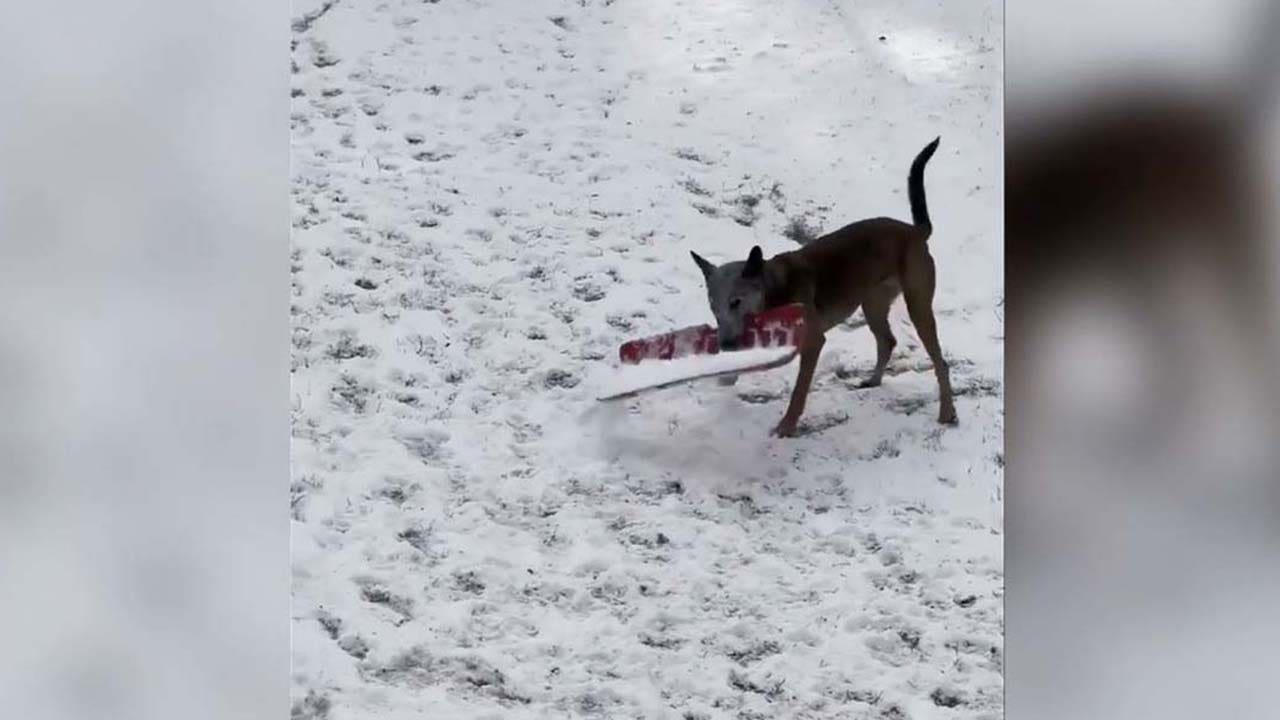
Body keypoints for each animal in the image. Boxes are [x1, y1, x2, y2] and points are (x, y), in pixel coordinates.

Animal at [691, 137, 952, 435]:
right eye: (713, 306)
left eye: (736, 301)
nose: (725, 344)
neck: (773, 291)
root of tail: (915, 231)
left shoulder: (813, 342)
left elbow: (799, 392)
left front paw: (786, 427)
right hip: (872, 302)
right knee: (887, 341)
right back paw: (873, 381)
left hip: (918, 304)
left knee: (940, 363)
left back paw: (947, 412)